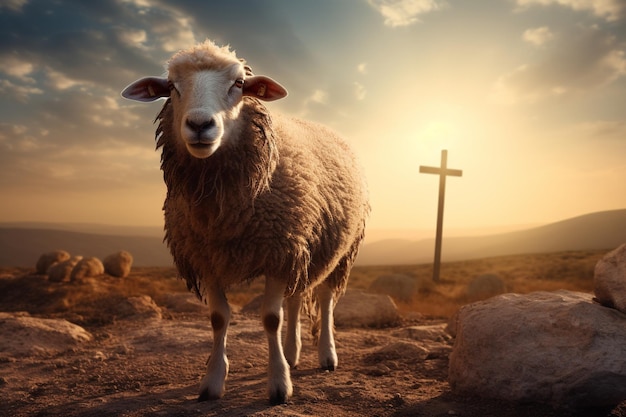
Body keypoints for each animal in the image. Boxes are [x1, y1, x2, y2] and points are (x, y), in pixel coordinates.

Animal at [120, 39, 366, 404]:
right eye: (172, 87)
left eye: (238, 83)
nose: (199, 124)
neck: (224, 212)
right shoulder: (206, 256)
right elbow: (218, 318)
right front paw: (212, 381)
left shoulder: (277, 251)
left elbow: (271, 318)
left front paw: (279, 384)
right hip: (302, 245)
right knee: (297, 297)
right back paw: (292, 352)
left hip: (338, 250)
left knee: (324, 299)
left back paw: (326, 355)